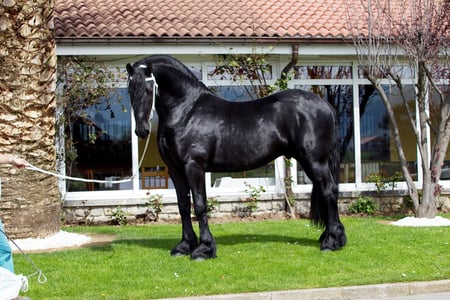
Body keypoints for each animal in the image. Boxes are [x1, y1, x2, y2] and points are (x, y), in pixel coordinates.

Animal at [126, 54, 348, 260]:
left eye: (148, 90)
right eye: (129, 90)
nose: (142, 130)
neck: (187, 111)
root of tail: (324, 105)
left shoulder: (194, 166)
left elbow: (199, 205)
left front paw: (204, 249)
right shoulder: (176, 169)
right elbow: (183, 206)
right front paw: (184, 246)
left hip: (314, 161)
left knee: (329, 190)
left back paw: (331, 241)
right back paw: (331, 237)